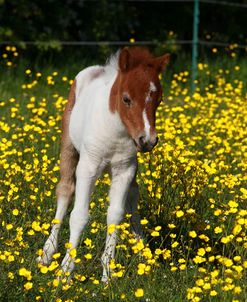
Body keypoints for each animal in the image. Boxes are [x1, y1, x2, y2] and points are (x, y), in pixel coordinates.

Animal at [37, 46, 170, 280]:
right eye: (126, 99)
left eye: (159, 100)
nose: (147, 140)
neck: (116, 131)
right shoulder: (88, 168)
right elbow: (79, 215)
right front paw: (65, 272)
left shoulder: (124, 170)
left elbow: (115, 215)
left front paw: (108, 273)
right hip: (69, 147)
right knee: (65, 190)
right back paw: (47, 252)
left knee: (133, 195)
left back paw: (142, 250)